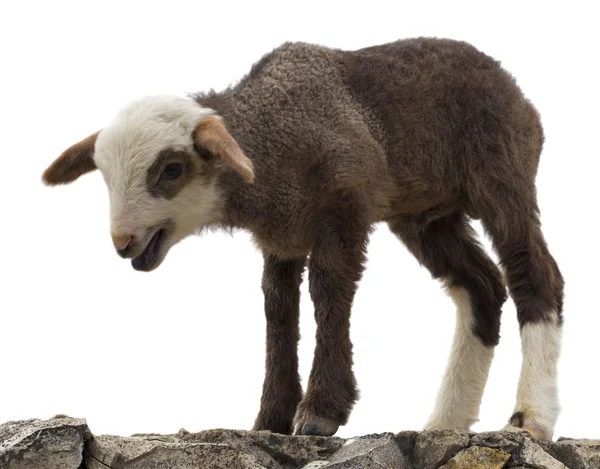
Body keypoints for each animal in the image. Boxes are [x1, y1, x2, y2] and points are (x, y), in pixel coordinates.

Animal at [41, 36, 564, 438]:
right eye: (105, 176)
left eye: (172, 169)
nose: (124, 241)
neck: (275, 142)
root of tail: (520, 96)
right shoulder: (283, 236)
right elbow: (278, 311)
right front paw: (271, 418)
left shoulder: (344, 210)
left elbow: (328, 294)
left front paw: (319, 413)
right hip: (426, 214)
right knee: (481, 286)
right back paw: (445, 423)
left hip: (503, 173)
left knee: (533, 274)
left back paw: (531, 417)